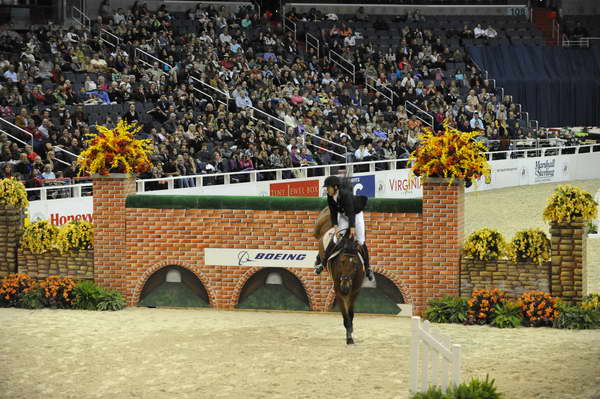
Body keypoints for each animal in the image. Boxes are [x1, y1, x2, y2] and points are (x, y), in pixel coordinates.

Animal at [314, 208, 366, 346]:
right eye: (341, 261)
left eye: (355, 264)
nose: (345, 286)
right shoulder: (338, 290)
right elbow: (345, 315)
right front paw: (349, 338)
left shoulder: (355, 291)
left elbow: (351, 314)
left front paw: (351, 332)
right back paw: (318, 263)